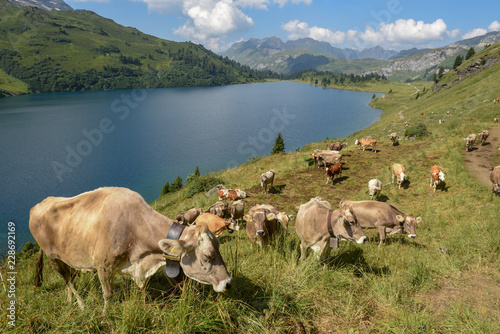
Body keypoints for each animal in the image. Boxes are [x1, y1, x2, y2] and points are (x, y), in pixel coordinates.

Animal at [30, 188, 233, 310]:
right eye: (207, 255)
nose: (228, 282)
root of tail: (38, 205)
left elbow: (142, 289)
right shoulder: (102, 265)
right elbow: (108, 295)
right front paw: (105, 317)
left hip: (68, 258)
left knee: (70, 278)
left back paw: (69, 300)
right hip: (52, 257)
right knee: (67, 280)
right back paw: (81, 305)